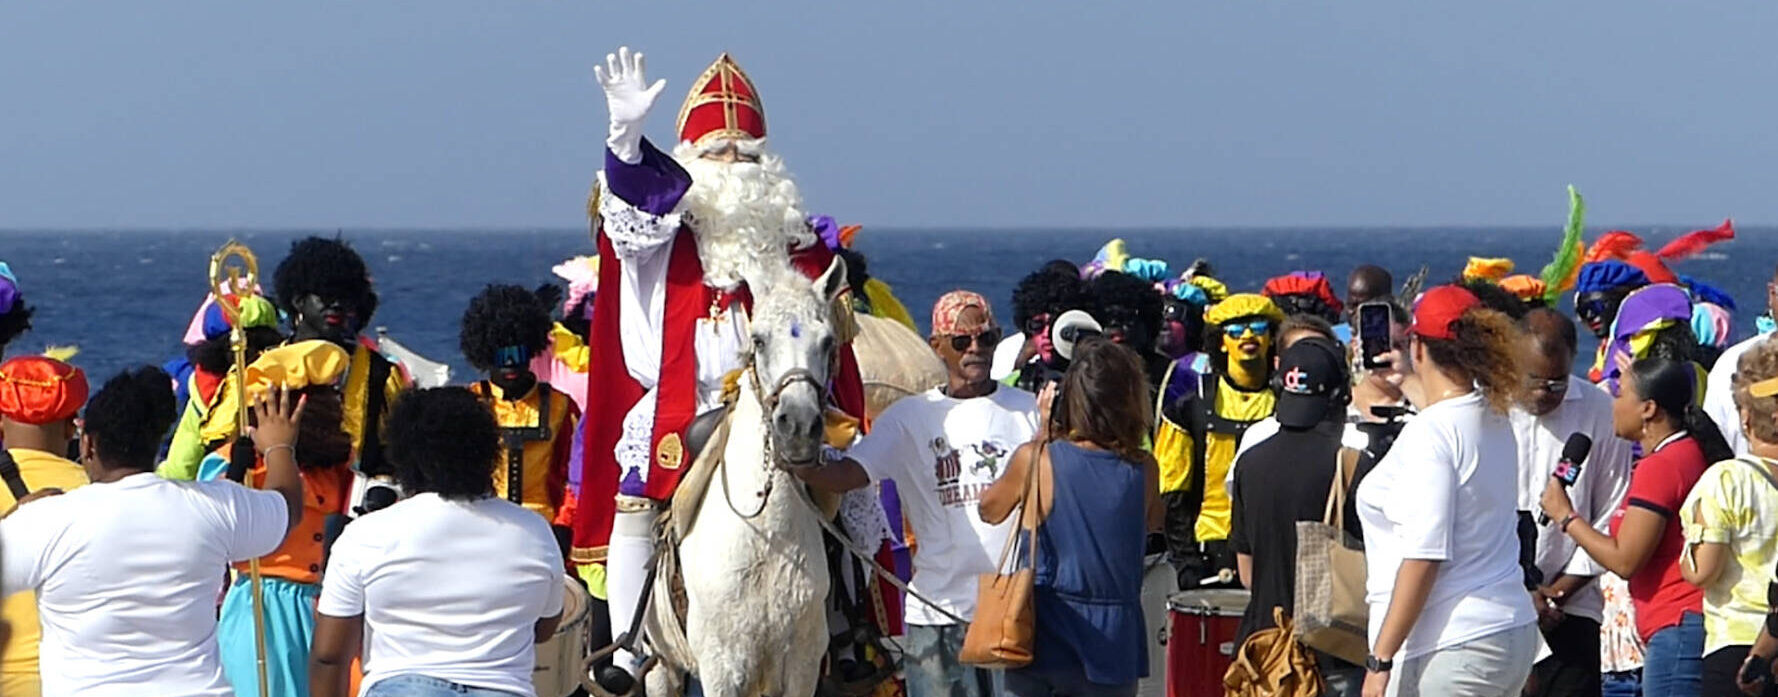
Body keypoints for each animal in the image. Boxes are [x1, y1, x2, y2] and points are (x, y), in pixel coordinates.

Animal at [650, 256, 849, 697]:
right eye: (758, 340)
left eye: (828, 342)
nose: (798, 427)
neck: (768, 540)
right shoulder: (721, 667)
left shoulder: (802, 664)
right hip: (661, 663)